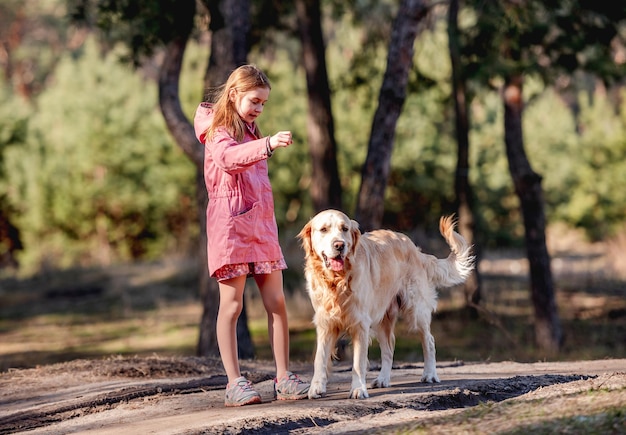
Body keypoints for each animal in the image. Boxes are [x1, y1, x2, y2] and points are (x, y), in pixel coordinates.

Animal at [298, 209, 472, 400]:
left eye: (344, 229)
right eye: (323, 229)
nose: (339, 245)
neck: (337, 281)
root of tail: (414, 248)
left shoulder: (360, 324)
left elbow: (358, 363)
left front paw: (358, 389)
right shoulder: (325, 322)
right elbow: (320, 358)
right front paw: (316, 388)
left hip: (415, 309)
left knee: (429, 341)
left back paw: (430, 374)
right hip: (382, 319)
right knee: (389, 348)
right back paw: (383, 379)